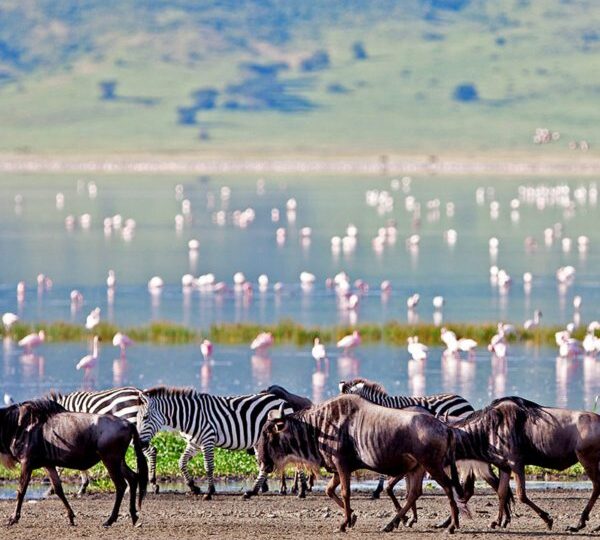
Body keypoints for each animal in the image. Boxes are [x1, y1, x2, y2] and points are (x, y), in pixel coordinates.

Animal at [135, 386, 296, 500]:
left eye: (145, 417)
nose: (140, 444)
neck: (188, 415)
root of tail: (283, 401)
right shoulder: (194, 443)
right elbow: (181, 462)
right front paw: (193, 487)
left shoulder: (208, 439)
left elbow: (209, 466)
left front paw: (209, 492)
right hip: (260, 442)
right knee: (265, 465)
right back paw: (252, 491)